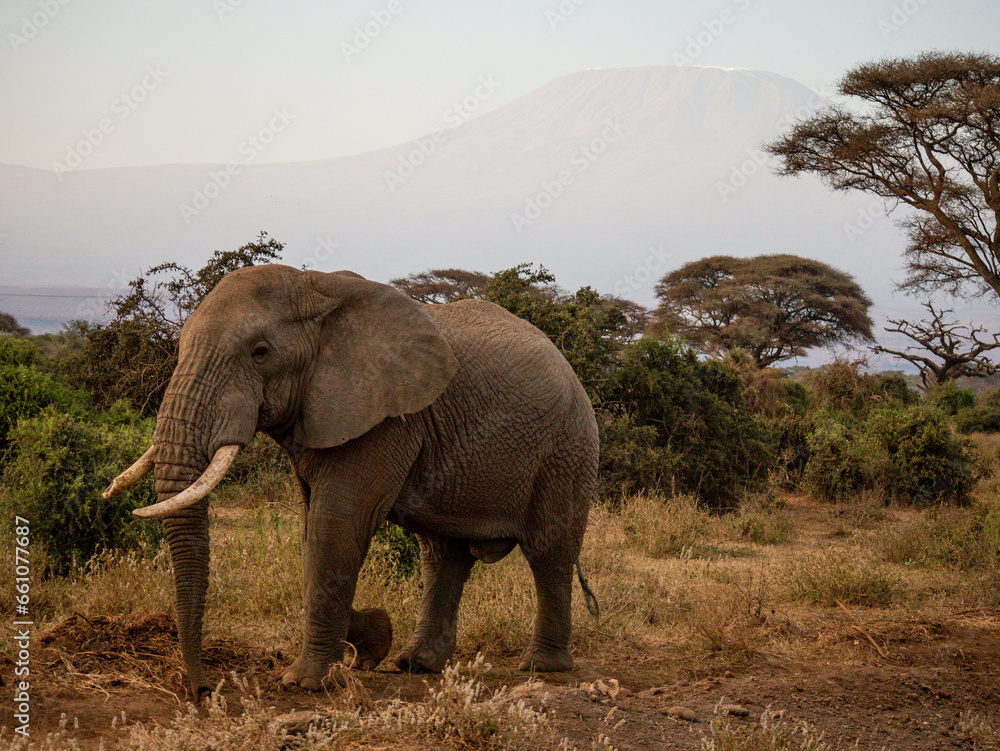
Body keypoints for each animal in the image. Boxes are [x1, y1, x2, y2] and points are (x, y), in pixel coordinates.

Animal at [103, 264, 600, 696]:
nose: (203, 690)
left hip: (567, 449)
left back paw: (542, 666)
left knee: (548, 550)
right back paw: (415, 663)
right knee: (442, 555)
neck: (317, 291)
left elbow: (336, 526)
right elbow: (313, 537)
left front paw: (305, 683)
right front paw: (372, 643)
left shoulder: (386, 418)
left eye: (260, 353)